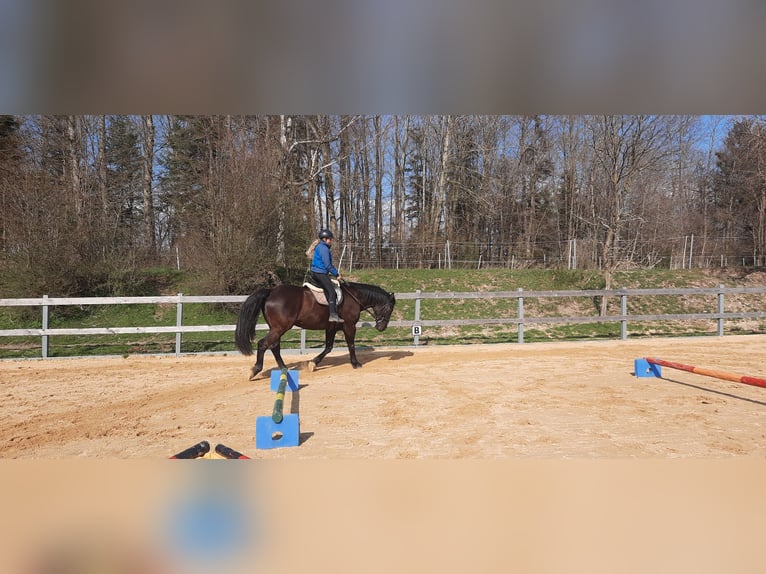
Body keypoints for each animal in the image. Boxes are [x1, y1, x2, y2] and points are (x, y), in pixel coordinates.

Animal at [236, 282, 396, 380]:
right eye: (389, 308)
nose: (381, 327)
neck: (354, 297)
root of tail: (271, 292)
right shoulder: (350, 326)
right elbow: (351, 345)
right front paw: (356, 363)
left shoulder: (332, 327)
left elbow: (328, 347)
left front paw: (313, 363)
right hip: (279, 328)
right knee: (263, 344)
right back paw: (255, 370)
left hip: (277, 328)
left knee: (274, 347)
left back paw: (284, 369)